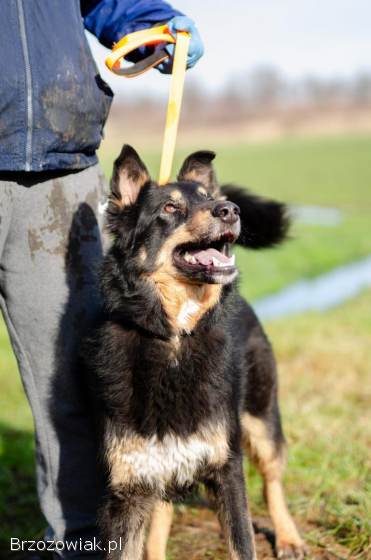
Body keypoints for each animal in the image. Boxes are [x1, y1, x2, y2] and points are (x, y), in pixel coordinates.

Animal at [83, 145, 306, 560]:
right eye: (170, 208)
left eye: (207, 200)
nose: (230, 209)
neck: (175, 337)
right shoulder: (128, 487)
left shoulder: (227, 469)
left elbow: (242, 543)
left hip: (261, 416)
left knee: (272, 478)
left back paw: (288, 537)